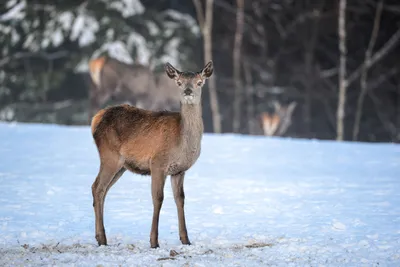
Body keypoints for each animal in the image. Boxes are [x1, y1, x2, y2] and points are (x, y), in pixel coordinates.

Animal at [90, 60, 214, 249]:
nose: (187, 91)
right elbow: (158, 198)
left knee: (101, 189)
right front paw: (154, 242)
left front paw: (186, 239)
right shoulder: (157, 164)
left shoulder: (179, 170)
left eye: (199, 82)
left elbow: (180, 199)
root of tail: (96, 118)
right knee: (98, 188)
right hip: (109, 156)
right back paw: (103, 239)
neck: (182, 141)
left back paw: (99, 237)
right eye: (179, 83)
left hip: (121, 166)